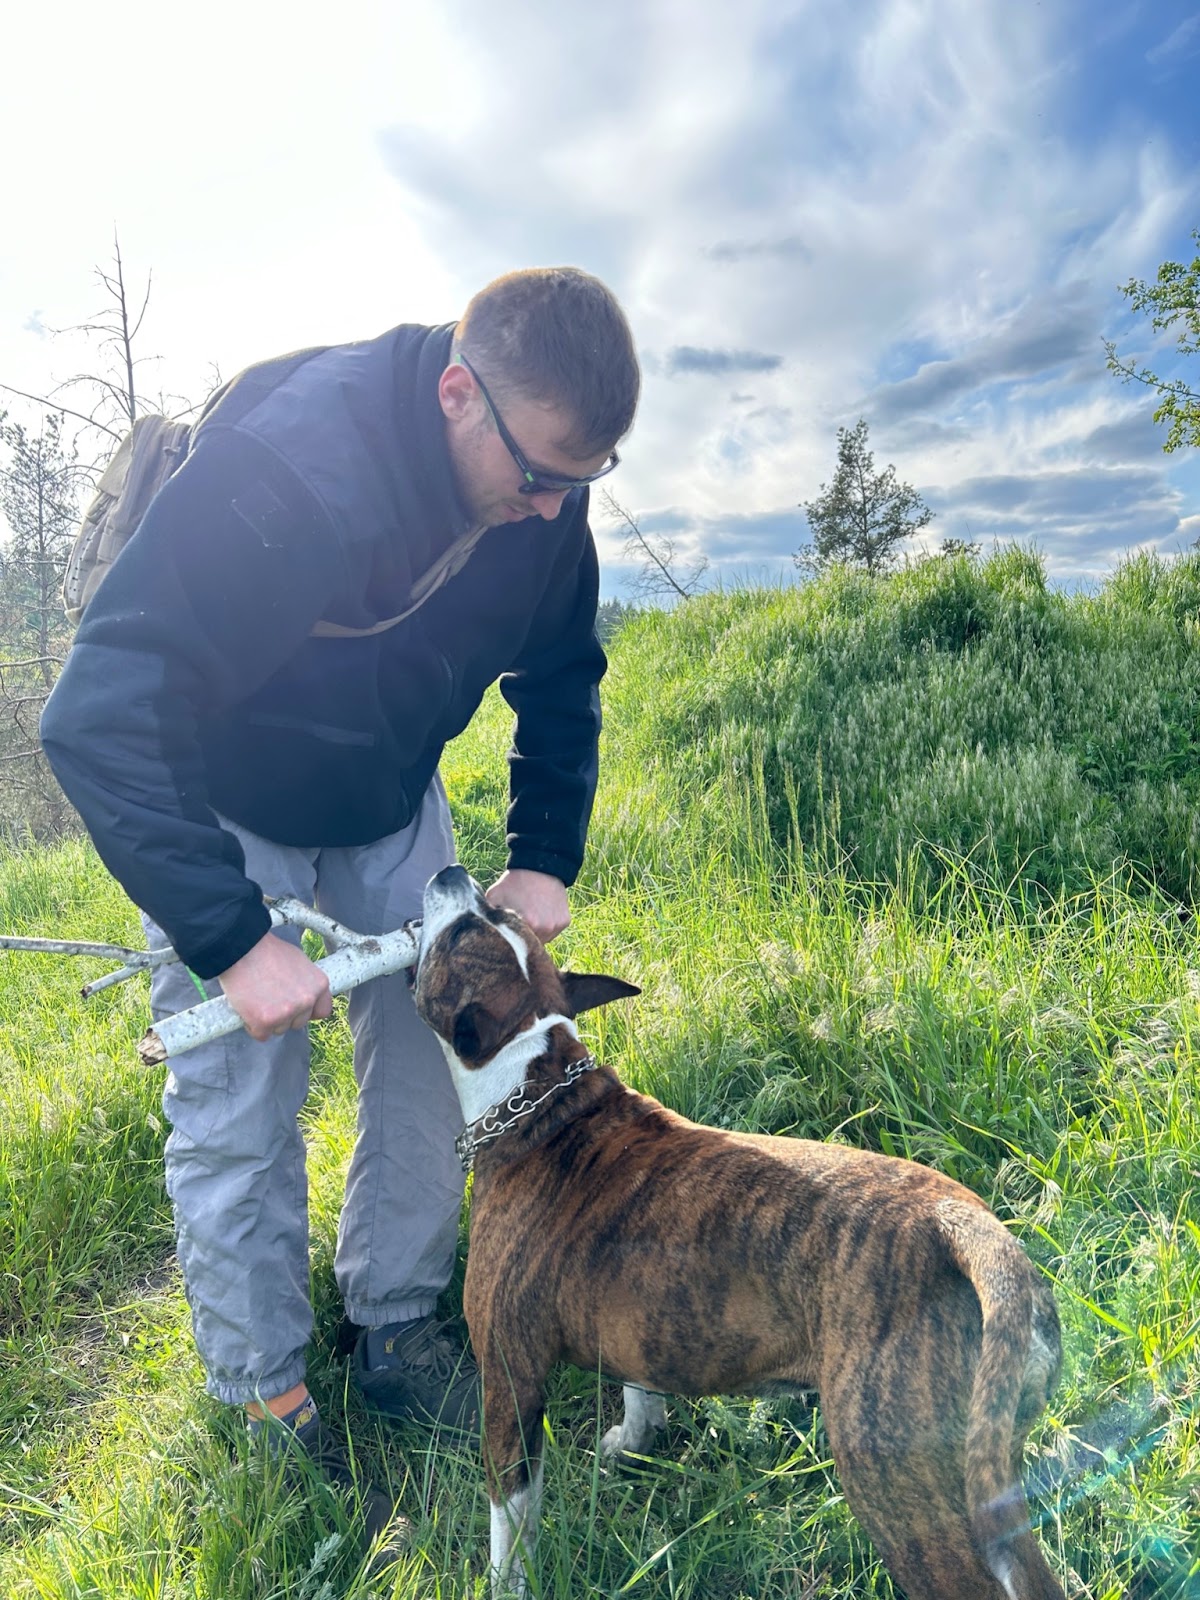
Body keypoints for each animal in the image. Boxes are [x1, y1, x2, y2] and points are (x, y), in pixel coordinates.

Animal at [416, 876, 1068, 1600]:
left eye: (459, 934)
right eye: (491, 914)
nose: (451, 876)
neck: (538, 1084)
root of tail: (958, 1225)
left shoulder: (510, 1383)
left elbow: (510, 1516)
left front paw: (504, 1582)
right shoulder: (631, 1321)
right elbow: (640, 1388)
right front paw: (635, 1437)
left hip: (907, 1497)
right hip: (991, 1470)